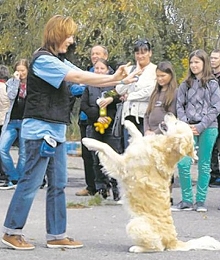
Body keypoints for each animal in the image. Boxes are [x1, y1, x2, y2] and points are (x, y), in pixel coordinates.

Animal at [81, 113, 220, 252]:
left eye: (176, 123)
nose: (170, 113)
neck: (163, 148)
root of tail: (173, 241)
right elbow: (138, 134)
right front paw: (128, 122)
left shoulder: (122, 165)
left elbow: (106, 147)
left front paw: (88, 141)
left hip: (135, 224)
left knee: (158, 247)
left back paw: (137, 248)